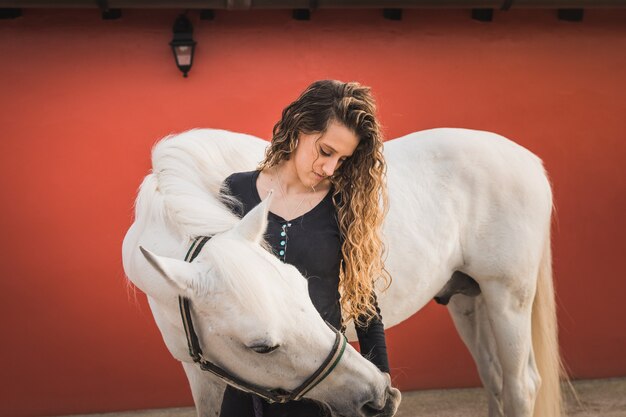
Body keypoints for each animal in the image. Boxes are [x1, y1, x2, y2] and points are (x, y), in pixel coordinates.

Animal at [122, 127, 560, 416]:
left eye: (303, 289)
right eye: (260, 347)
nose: (381, 396)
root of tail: (530, 161)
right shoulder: (200, 374)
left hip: (507, 299)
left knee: (521, 385)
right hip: (470, 301)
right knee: (494, 377)